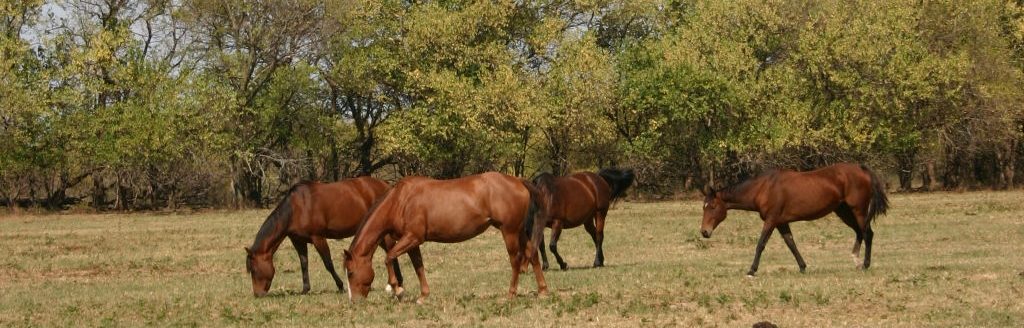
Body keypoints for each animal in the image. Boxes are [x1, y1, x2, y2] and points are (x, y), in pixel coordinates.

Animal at [245, 176, 405, 297]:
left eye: (254, 270)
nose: (258, 294)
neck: (297, 208)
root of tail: (386, 185)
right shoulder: (298, 241)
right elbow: (304, 264)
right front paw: (305, 289)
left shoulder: (318, 238)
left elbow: (328, 263)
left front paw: (340, 286)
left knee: (391, 250)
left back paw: (396, 283)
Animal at [342, 172, 552, 303]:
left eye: (350, 272)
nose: (354, 301)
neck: (400, 200)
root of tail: (519, 181)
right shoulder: (412, 242)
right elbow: (418, 267)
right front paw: (423, 296)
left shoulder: (412, 238)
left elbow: (389, 257)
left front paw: (397, 290)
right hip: (519, 230)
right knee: (532, 253)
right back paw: (542, 291)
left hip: (509, 231)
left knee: (516, 260)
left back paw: (511, 294)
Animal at [704, 162, 888, 274]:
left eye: (712, 207)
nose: (704, 232)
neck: (764, 188)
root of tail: (862, 169)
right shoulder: (781, 222)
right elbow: (791, 244)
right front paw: (802, 267)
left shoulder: (771, 220)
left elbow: (761, 244)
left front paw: (752, 270)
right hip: (844, 211)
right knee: (859, 232)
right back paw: (856, 260)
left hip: (858, 210)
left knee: (867, 234)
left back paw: (865, 264)